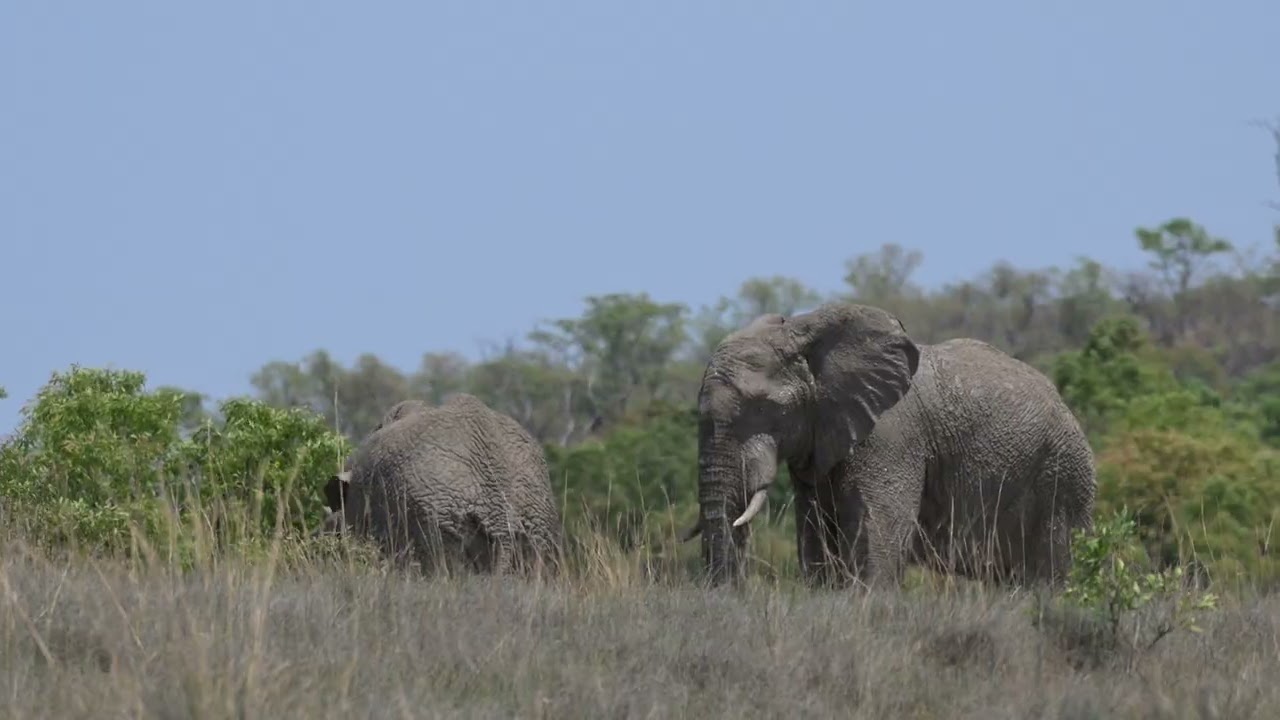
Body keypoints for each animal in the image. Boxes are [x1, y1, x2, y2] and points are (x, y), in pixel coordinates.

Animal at [680, 302, 1096, 589]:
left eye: (763, 408)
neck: (804, 331)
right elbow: (814, 535)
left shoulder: (890, 435)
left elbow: (877, 529)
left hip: (1063, 476)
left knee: (1049, 575)